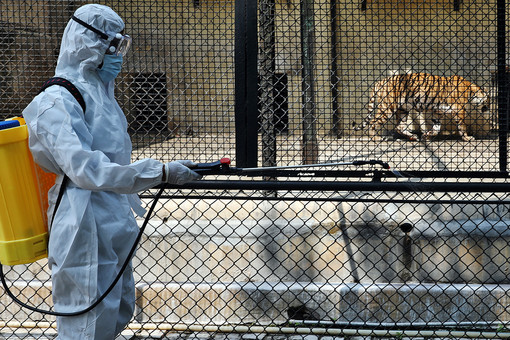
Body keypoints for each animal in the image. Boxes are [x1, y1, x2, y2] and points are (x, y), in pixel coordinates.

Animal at [354, 72, 490, 141]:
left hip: (403, 109)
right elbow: (462, 126)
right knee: (373, 122)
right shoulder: (459, 110)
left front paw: (427, 136)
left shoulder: (438, 112)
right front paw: (467, 138)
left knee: (399, 127)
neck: (471, 91)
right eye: (488, 101)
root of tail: (381, 81)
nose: (488, 108)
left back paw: (413, 136)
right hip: (387, 108)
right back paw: (376, 138)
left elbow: (436, 128)